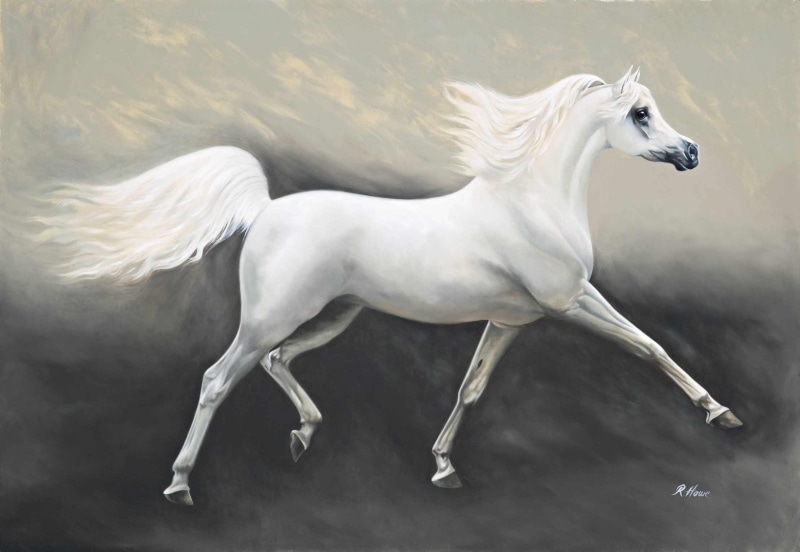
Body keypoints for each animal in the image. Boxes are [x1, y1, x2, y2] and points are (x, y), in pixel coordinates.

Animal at [34, 67, 743, 506]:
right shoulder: (570, 301)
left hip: (333, 316)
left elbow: (470, 389)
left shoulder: (510, 321)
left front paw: (444, 467)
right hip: (272, 316)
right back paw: (180, 485)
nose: (692, 153)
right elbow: (649, 347)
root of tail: (265, 210)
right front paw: (721, 413)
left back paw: (303, 436)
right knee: (218, 376)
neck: (532, 202)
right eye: (641, 113)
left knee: (276, 361)